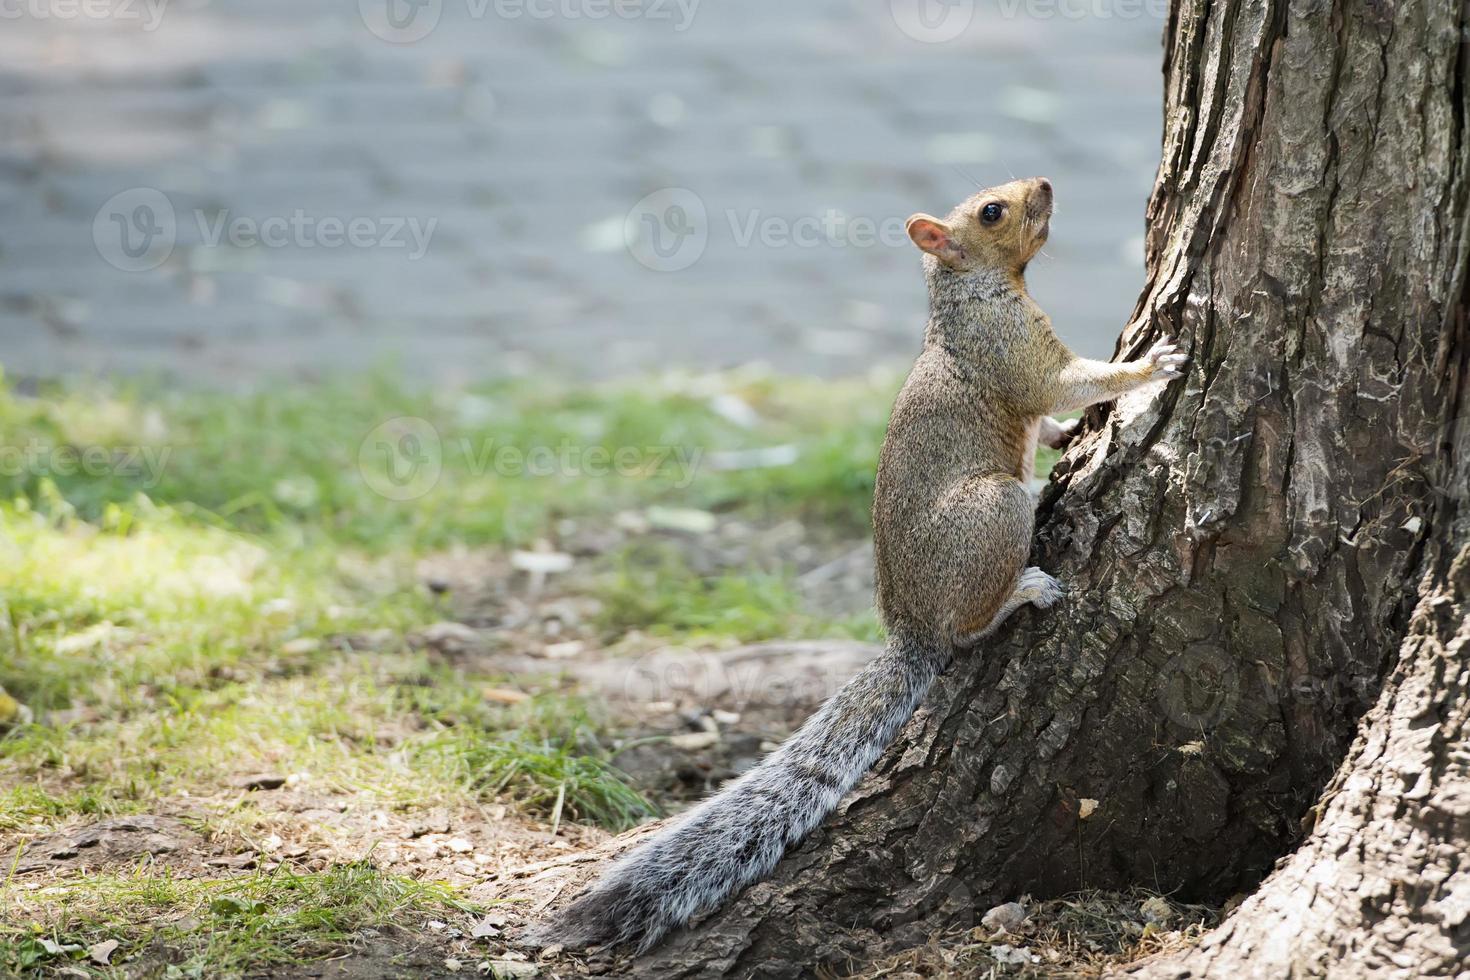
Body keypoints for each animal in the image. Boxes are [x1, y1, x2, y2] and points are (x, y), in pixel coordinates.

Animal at [535, 174, 1187, 952]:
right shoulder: (1007, 349)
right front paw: (1149, 366)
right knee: (967, 626)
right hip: (993, 513)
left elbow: (1056, 412)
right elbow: (1066, 383)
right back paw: (1018, 593)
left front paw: (1066, 436)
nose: (1046, 184)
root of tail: (913, 632)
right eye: (992, 211)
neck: (973, 291)